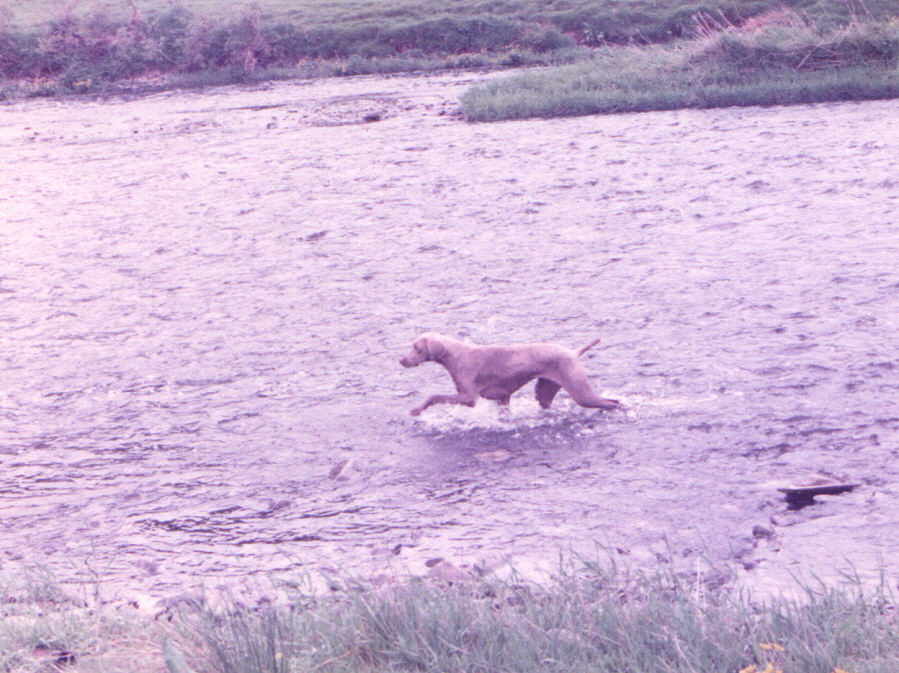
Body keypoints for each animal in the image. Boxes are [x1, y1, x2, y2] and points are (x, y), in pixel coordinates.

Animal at [398, 330, 624, 414]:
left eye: (417, 348)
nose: (401, 360)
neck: (456, 355)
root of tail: (574, 352)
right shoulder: (502, 398)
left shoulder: (469, 397)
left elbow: (434, 396)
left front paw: (417, 409)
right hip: (545, 391)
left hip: (580, 392)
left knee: (614, 402)